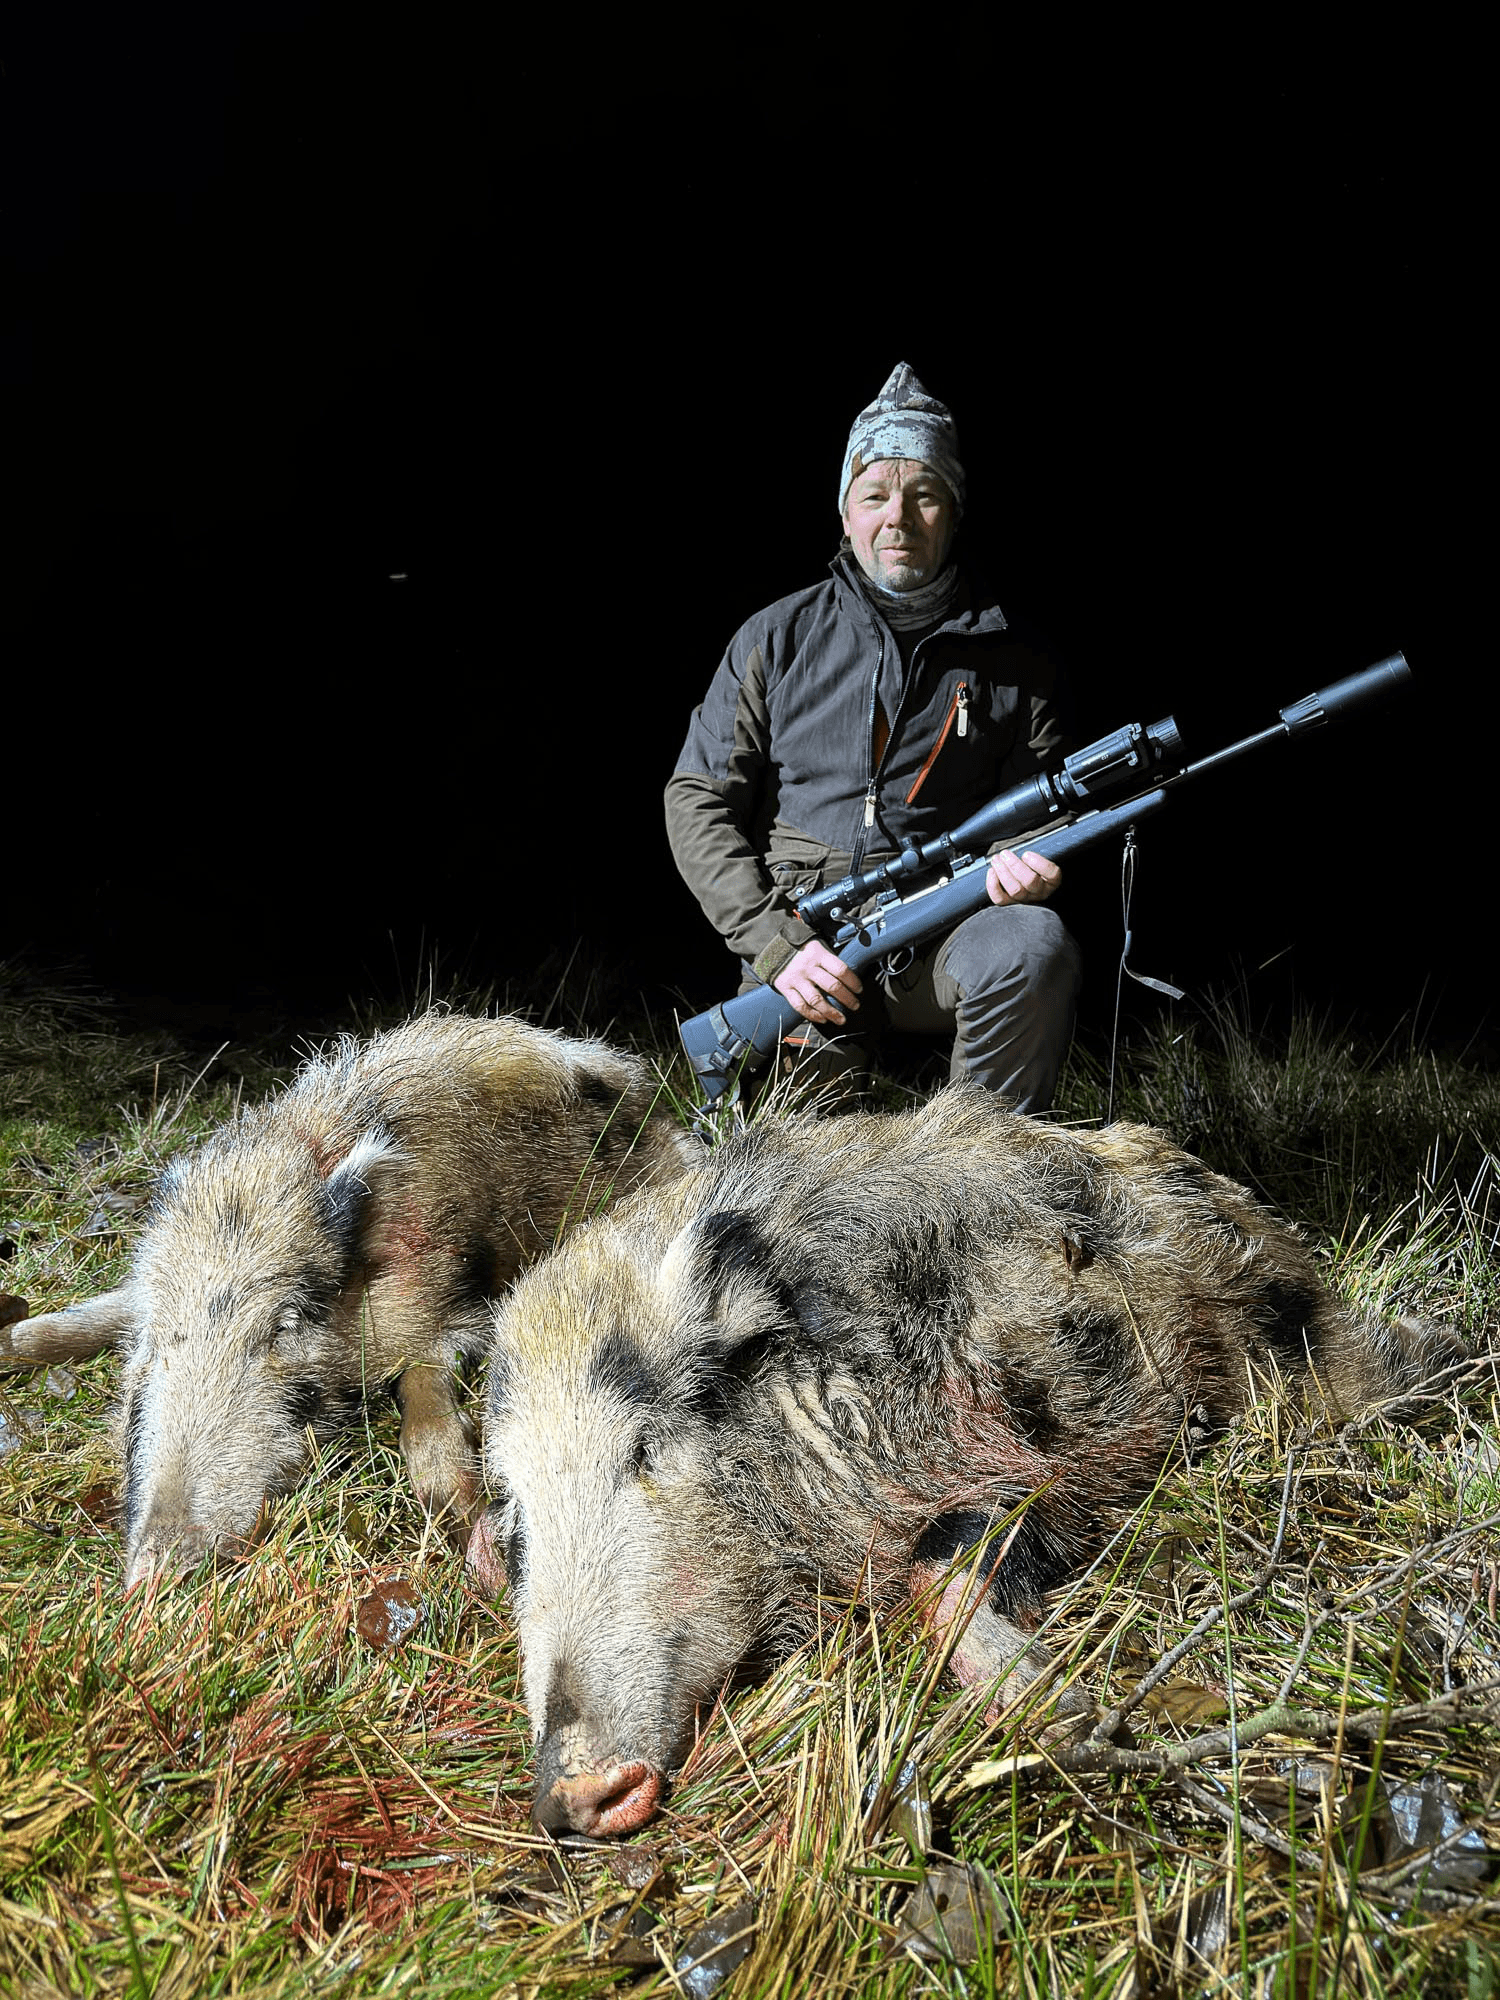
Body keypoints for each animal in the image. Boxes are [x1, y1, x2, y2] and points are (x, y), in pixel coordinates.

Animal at [1, 1012, 696, 1587]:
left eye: (286, 1325)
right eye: (161, 1338)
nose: (150, 1577)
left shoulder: (442, 1307)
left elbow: (425, 1413)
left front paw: (488, 1568)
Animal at [471, 1084, 1469, 1837]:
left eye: (645, 1449)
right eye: (517, 1515)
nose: (564, 1796)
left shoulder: (1029, 1454)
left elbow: (945, 1565)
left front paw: (1069, 1715)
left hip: (1295, 1344)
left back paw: (1452, 1356)